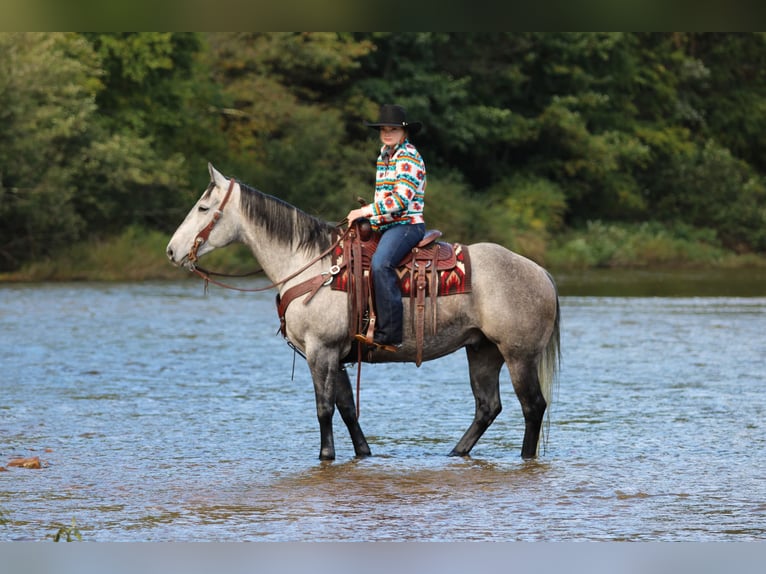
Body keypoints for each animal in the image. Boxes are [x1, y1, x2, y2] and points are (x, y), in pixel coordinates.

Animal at [166, 163, 561, 461]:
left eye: (203, 208)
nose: (171, 251)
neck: (313, 265)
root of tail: (541, 272)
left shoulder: (321, 350)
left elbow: (324, 407)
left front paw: (325, 456)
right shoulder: (338, 354)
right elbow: (347, 408)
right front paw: (364, 453)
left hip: (518, 354)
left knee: (532, 406)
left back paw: (524, 457)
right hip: (482, 350)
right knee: (487, 407)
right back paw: (455, 453)